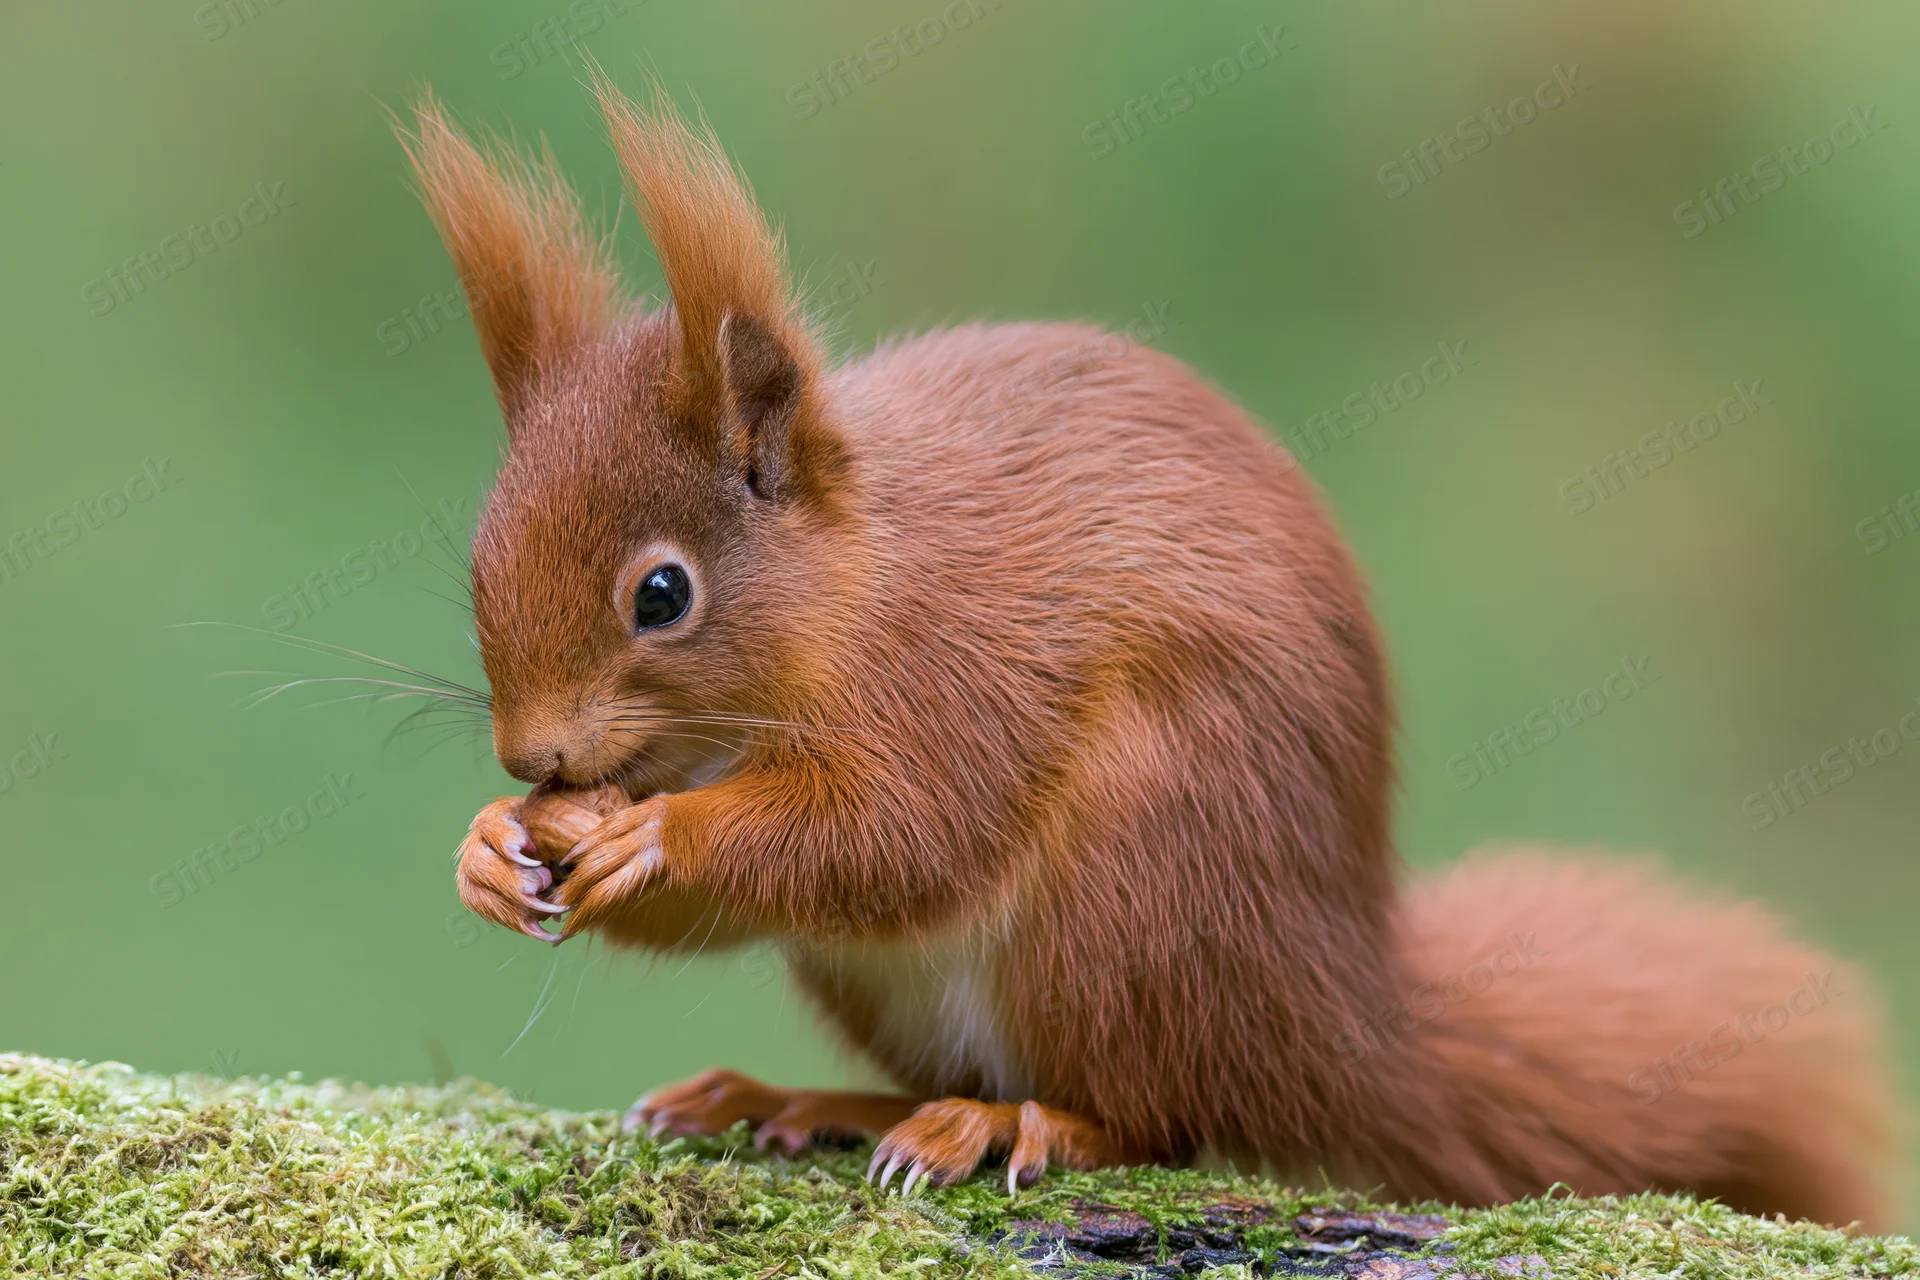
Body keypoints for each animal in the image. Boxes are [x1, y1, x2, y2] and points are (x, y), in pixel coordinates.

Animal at [402, 80, 1903, 1226]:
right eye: (477, 556)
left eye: (663, 594)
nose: (531, 754)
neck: (850, 599)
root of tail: (1336, 1016)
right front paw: (486, 847)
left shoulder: (956, 677)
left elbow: (893, 833)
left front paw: (652, 838)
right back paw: (808, 1100)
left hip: (1138, 873)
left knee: (1166, 1115)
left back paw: (1015, 1126)